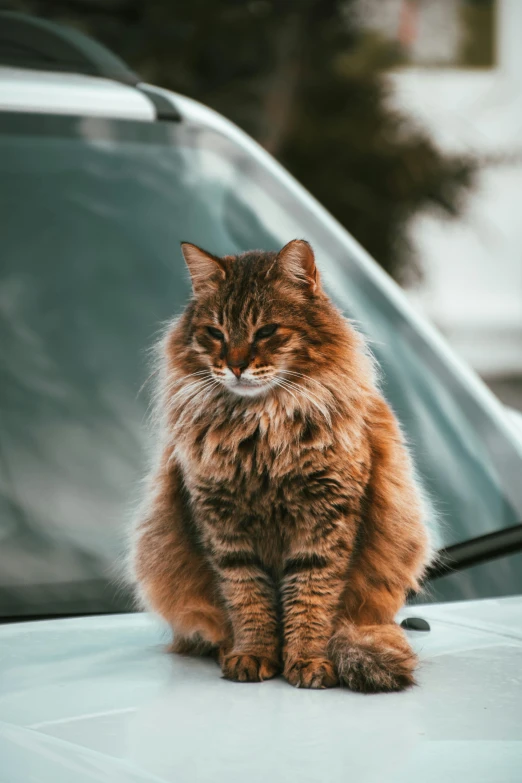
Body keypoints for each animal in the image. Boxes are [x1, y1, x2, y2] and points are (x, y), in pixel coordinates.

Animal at [131, 240, 430, 692]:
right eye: (215, 334)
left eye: (266, 332)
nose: (235, 366)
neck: (259, 430)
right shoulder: (226, 530)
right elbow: (248, 601)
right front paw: (253, 655)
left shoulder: (323, 526)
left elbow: (310, 602)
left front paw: (307, 660)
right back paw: (226, 650)